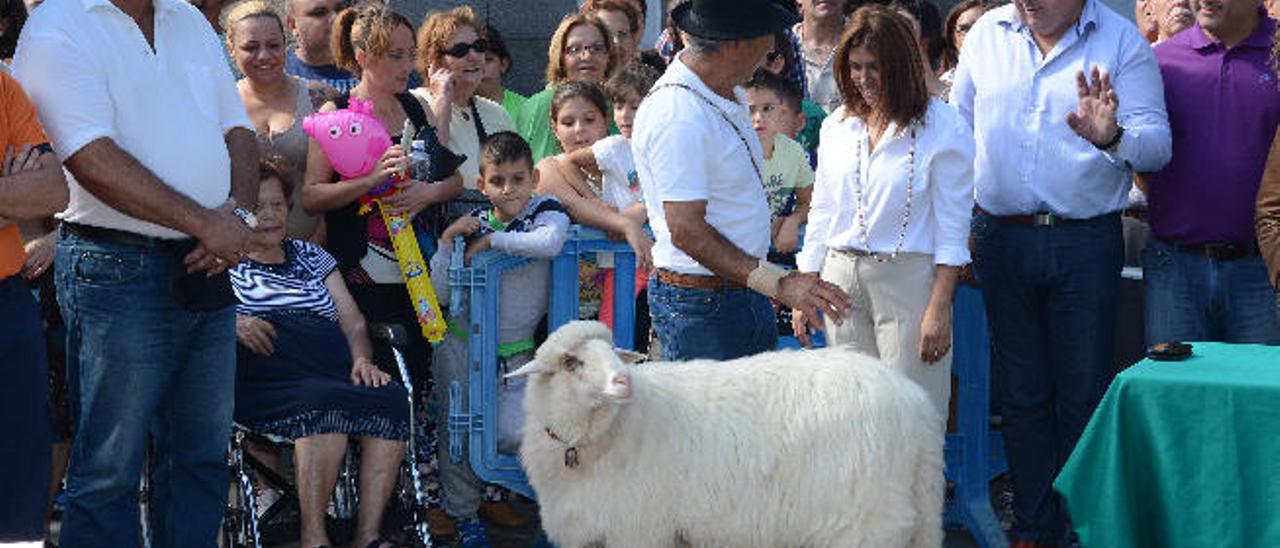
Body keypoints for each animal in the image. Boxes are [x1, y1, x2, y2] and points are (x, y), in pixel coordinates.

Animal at [506, 321, 942, 548]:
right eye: (571, 361)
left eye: (612, 350)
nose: (623, 380)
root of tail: (917, 405)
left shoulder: (637, 529)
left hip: (866, 522)